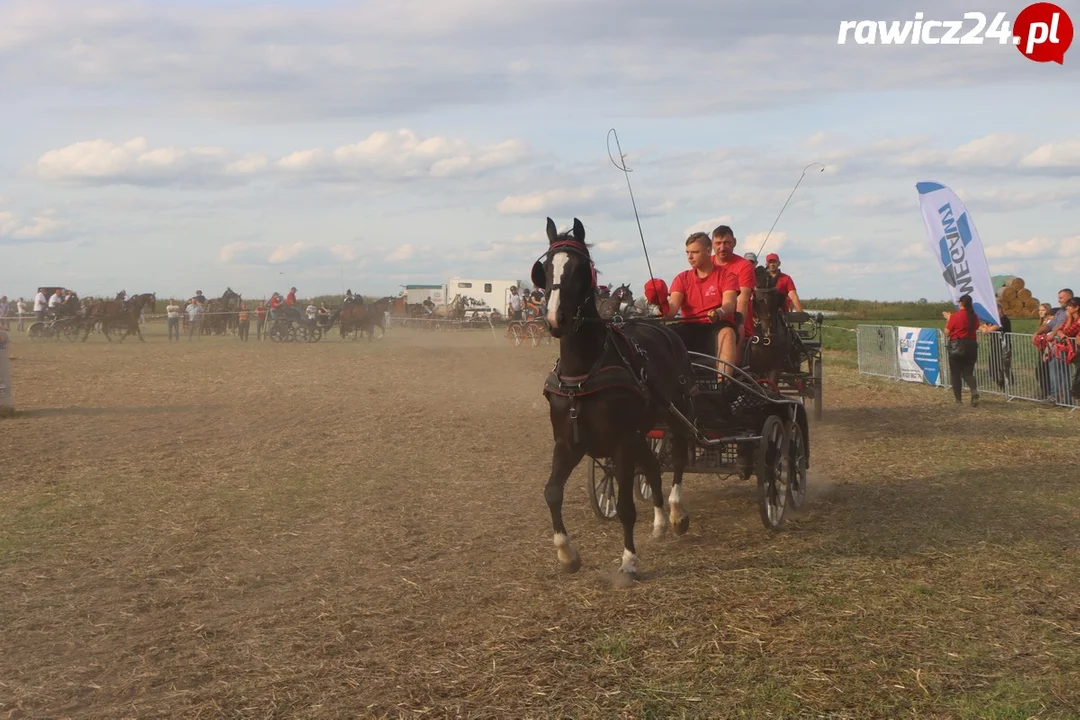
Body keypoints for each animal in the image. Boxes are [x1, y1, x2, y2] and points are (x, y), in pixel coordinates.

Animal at [533, 216, 699, 582]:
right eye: (545, 268)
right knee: (652, 466)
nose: (555, 319)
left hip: (676, 411)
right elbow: (551, 492)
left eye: (581, 268)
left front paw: (629, 561)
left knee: (679, 457)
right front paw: (567, 554)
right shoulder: (568, 443)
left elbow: (625, 506)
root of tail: (665, 329)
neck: (583, 372)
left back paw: (677, 513)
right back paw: (660, 523)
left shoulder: (622, 443)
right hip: (643, 430)